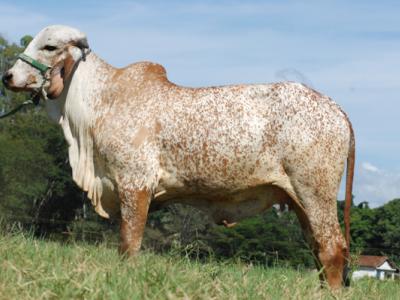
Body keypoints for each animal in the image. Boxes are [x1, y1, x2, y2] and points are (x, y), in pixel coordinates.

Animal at [2, 25, 354, 288]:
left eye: (49, 46)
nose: (8, 76)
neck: (101, 103)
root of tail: (335, 108)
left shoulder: (135, 185)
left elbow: (129, 244)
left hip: (315, 193)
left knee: (332, 249)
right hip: (299, 200)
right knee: (319, 251)